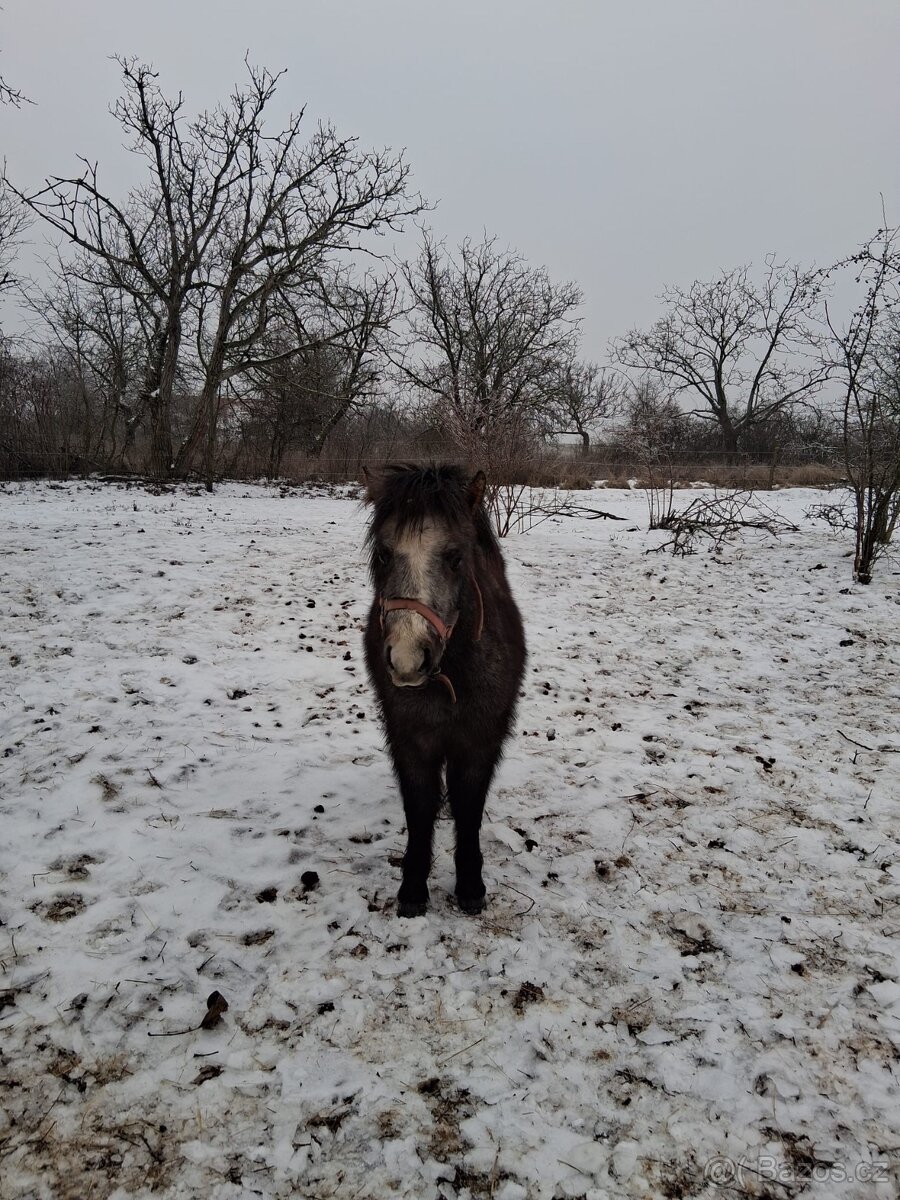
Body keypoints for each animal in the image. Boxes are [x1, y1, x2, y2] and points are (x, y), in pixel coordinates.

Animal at [363, 464, 527, 917]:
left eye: (455, 558)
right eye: (383, 555)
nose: (407, 658)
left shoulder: (480, 740)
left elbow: (468, 805)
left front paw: (470, 885)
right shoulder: (409, 738)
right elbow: (420, 807)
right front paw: (413, 890)